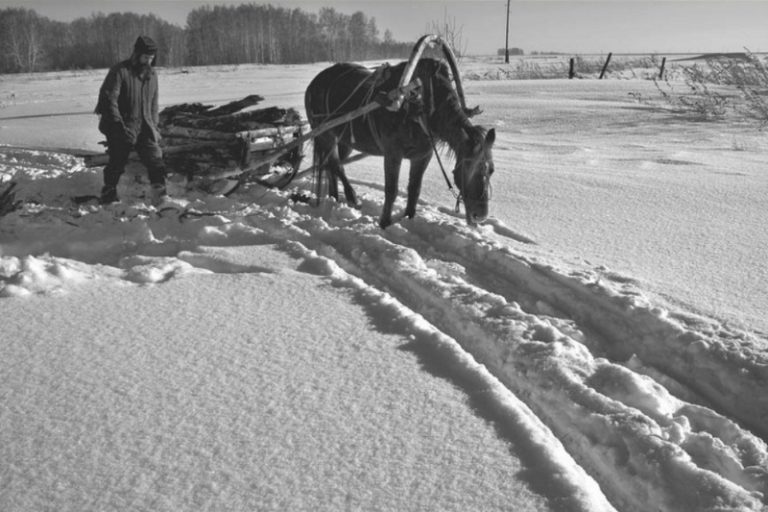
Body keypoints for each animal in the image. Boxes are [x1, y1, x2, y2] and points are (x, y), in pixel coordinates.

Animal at [304, 55, 496, 228]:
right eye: (467, 168)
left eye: (491, 170)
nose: (480, 215)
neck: (422, 107)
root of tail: (313, 83)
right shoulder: (392, 153)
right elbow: (391, 190)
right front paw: (384, 223)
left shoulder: (422, 156)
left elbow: (414, 189)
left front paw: (409, 218)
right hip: (325, 134)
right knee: (336, 165)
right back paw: (352, 197)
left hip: (344, 140)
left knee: (331, 166)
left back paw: (334, 198)